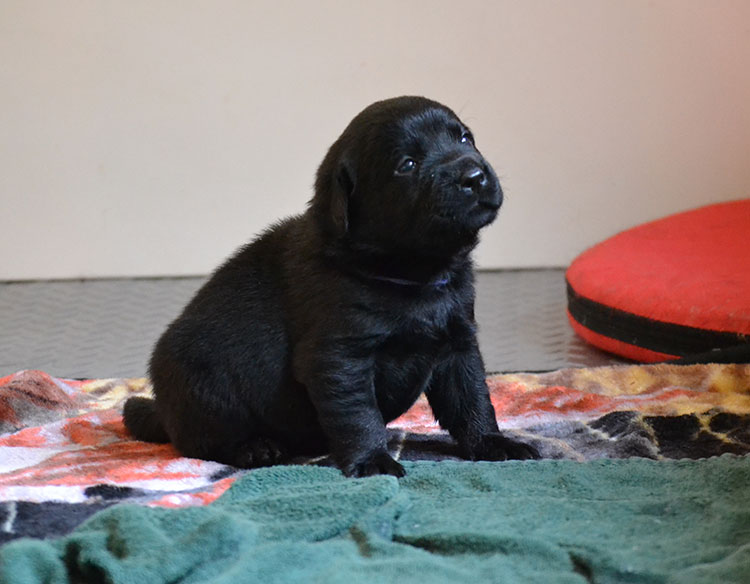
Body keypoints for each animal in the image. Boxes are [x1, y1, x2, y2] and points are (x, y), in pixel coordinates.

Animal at [128, 97, 540, 480]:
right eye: (407, 165)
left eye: (464, 137)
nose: (474, 175)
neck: (413, 275)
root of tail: (162, 410)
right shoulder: (340, 357)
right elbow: (358, 415)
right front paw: (373, 460)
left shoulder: (458, 344)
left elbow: (472, 399)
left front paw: (492, 442)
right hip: (204, 388)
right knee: (199, 441)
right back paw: (253, 448)